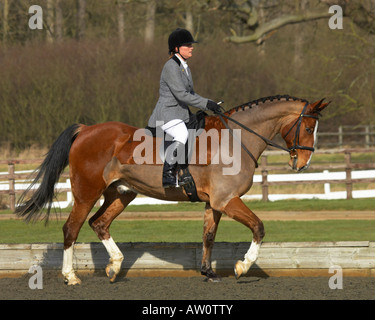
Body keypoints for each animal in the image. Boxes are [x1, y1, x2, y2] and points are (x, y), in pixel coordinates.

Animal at [16, 94, 330, 284]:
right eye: (308, 128)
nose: (302, 163)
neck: (236, 139)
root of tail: (86, 130)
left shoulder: (214, 203)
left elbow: (208, 236)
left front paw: (208, 272)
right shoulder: (227, 200)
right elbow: (259, 227)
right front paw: (242, 266)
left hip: (121, 193)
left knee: (99, 223)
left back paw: (115, 265)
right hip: (86, 193)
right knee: (72, 228)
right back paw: (71, 276)